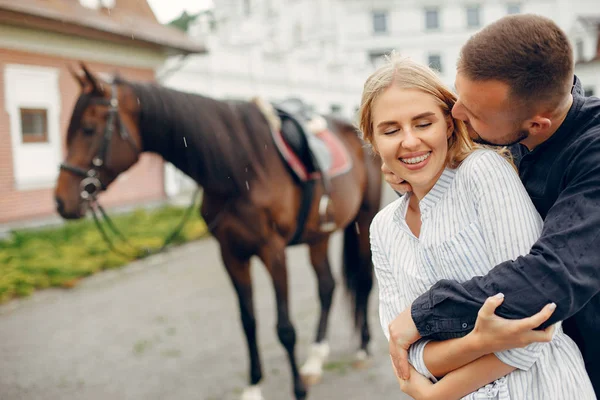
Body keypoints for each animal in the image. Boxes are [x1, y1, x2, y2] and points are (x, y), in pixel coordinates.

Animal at [54, 64, 382, 398]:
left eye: (88, 129)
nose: (61, 201)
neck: (241, 167)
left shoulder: (273, 251)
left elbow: (285, 328)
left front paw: (298, 390)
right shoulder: (231, 253)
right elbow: (248, 322)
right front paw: (254, 387)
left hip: (364, 221)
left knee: (363, 281)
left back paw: (362, 349)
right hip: (318, 236)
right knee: (327, 286)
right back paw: (315, 360)